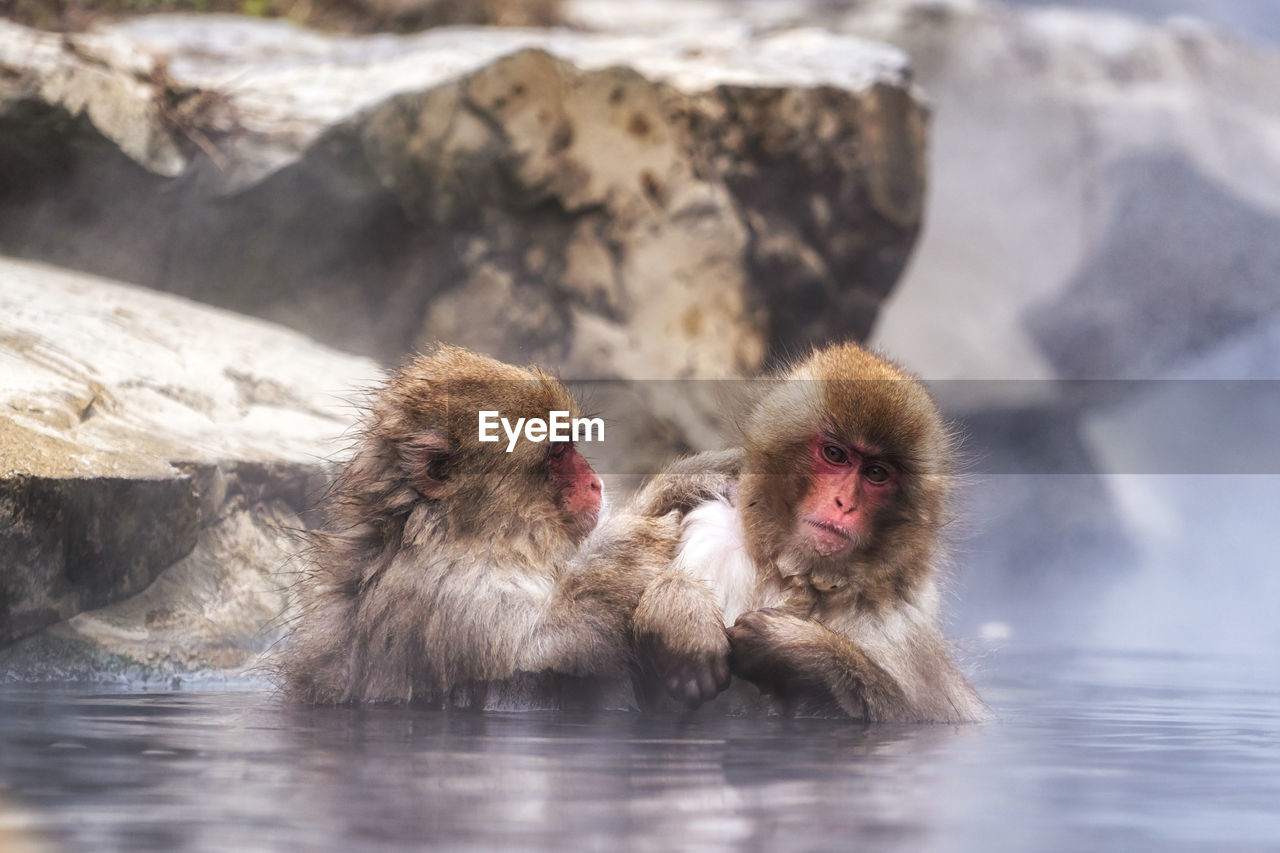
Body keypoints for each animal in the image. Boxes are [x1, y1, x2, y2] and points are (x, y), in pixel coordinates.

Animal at [281, 345, 680, 701]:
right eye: (557, 452)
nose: (595, 483)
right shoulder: (449, 597)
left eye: (569, 445)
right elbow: (537, 661)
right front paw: (635, 539)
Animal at [629, 343, 988, 722]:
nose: (844, 504)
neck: (795, 574)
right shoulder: (712, 533)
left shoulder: (904, 621)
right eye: (835, 454)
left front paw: (797, 650)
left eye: (876, 473)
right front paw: (682, 611)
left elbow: (916, 716)